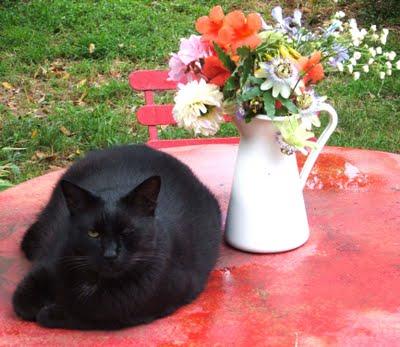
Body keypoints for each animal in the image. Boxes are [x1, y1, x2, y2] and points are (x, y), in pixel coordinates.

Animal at [13, 145, 222, 330]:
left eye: (127, 231)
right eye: (93, 233)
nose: (110, 254)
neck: (94, 281)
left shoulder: (146, 306)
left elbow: (92, 314)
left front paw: (50, 312)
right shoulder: (49, 260)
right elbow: (21, 301)